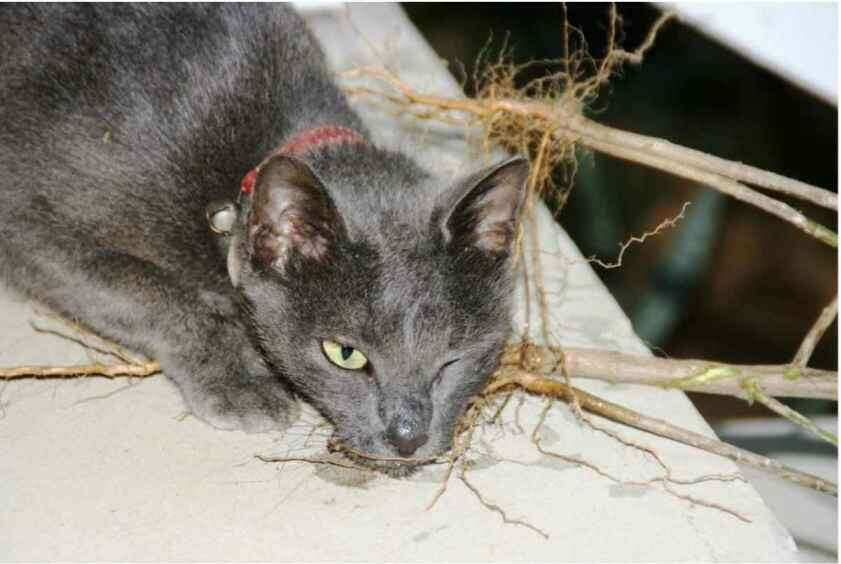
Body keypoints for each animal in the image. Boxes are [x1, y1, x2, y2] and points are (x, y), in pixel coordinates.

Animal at [0, 3, 524, 476]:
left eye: (453, 359)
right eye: (345, 354)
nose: (408, 435)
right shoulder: (26, 224)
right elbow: (153, 294)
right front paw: (243, 379)